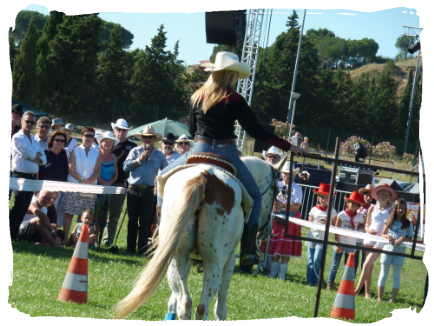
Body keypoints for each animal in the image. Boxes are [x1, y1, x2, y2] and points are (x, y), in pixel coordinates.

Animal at [113, 156, 286, 326]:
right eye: (276, 191)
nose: (267, 230)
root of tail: (203, 176)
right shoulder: (229, 261)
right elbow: (220, 309)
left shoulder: (187, 260)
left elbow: (172, 302)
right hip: (214, 263)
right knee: (202, 308)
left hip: (176, 258)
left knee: (184, 304)